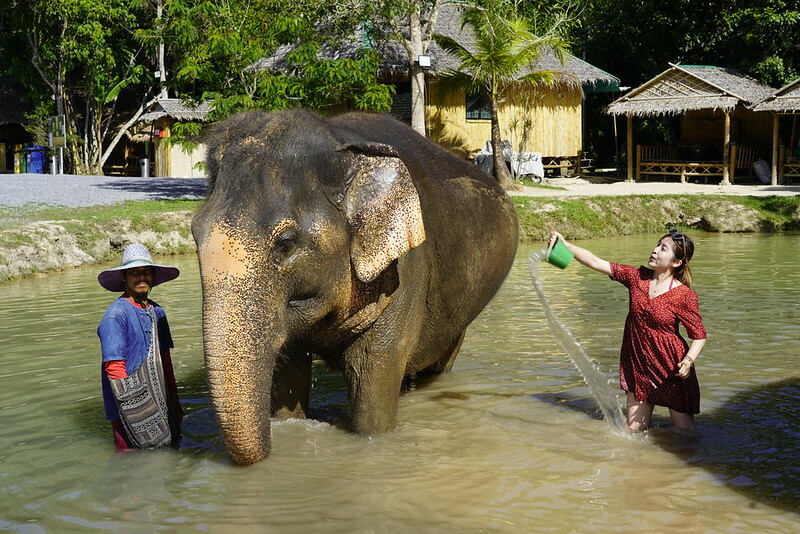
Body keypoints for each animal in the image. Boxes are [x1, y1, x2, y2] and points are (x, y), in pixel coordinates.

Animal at [192, 110, 518, 465]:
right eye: (194, 234)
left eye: (286, 244)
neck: (340, 143)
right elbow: (290, 370)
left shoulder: (405, 268)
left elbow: (373, 366)